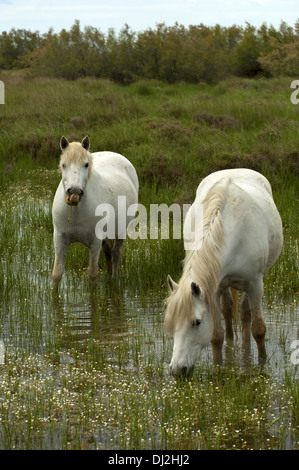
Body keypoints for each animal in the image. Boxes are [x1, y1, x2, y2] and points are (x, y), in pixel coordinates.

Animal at [51, 136, 139, 286]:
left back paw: (114, 280)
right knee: (108, 253)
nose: (74, 192)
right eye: (63, 165)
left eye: (86, 164)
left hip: (121, 231)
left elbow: (92, 274)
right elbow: (57, 274)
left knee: (116, 255)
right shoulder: (59, 238)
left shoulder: (95, 241)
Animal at [165, 169, 284, 378]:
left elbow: (258, 329)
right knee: (229, 311)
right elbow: (216, 336)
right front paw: (218, 368)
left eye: (196, 322)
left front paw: (262, 365)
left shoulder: (255, 284)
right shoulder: (214, 287)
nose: (177, 370)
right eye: (172, 323)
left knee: (245, 314)